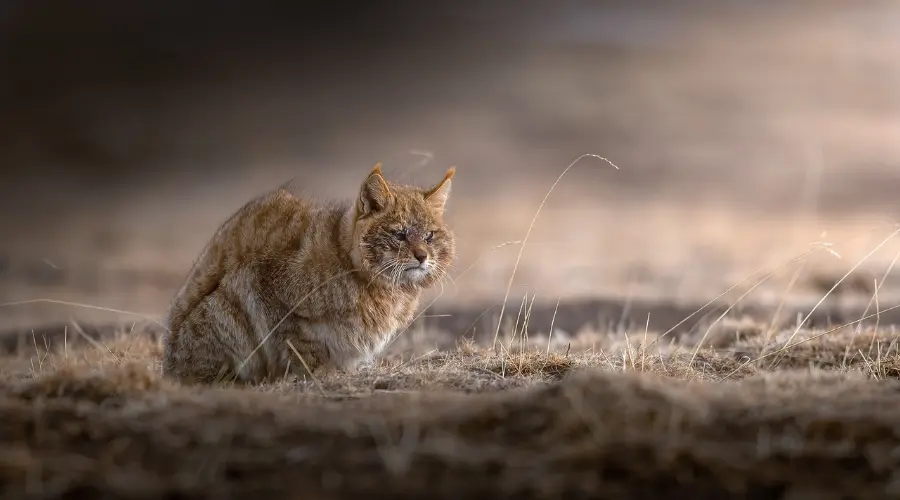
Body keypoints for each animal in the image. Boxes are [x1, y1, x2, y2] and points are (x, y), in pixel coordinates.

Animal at [163, 163, 458, 382]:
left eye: (430, 236)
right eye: (400, 234)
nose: (422, 256)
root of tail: (168, 367)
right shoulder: (263, 283)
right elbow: (301, 342)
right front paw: (321, 373)